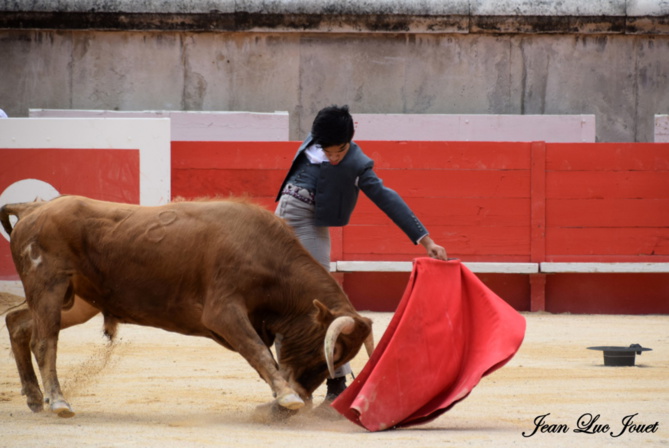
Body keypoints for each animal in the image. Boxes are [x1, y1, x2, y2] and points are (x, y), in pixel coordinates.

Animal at [0, 194, 374, 418]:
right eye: (331, 351)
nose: (306, 398)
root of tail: (33, 208)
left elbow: (262, 355)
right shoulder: (223, 312)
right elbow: (258, 351)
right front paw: (287, 396)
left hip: (75, 301)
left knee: (18, 322)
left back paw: (33, 397)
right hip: (50, 286)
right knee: (44, 341)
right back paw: (58, 401)